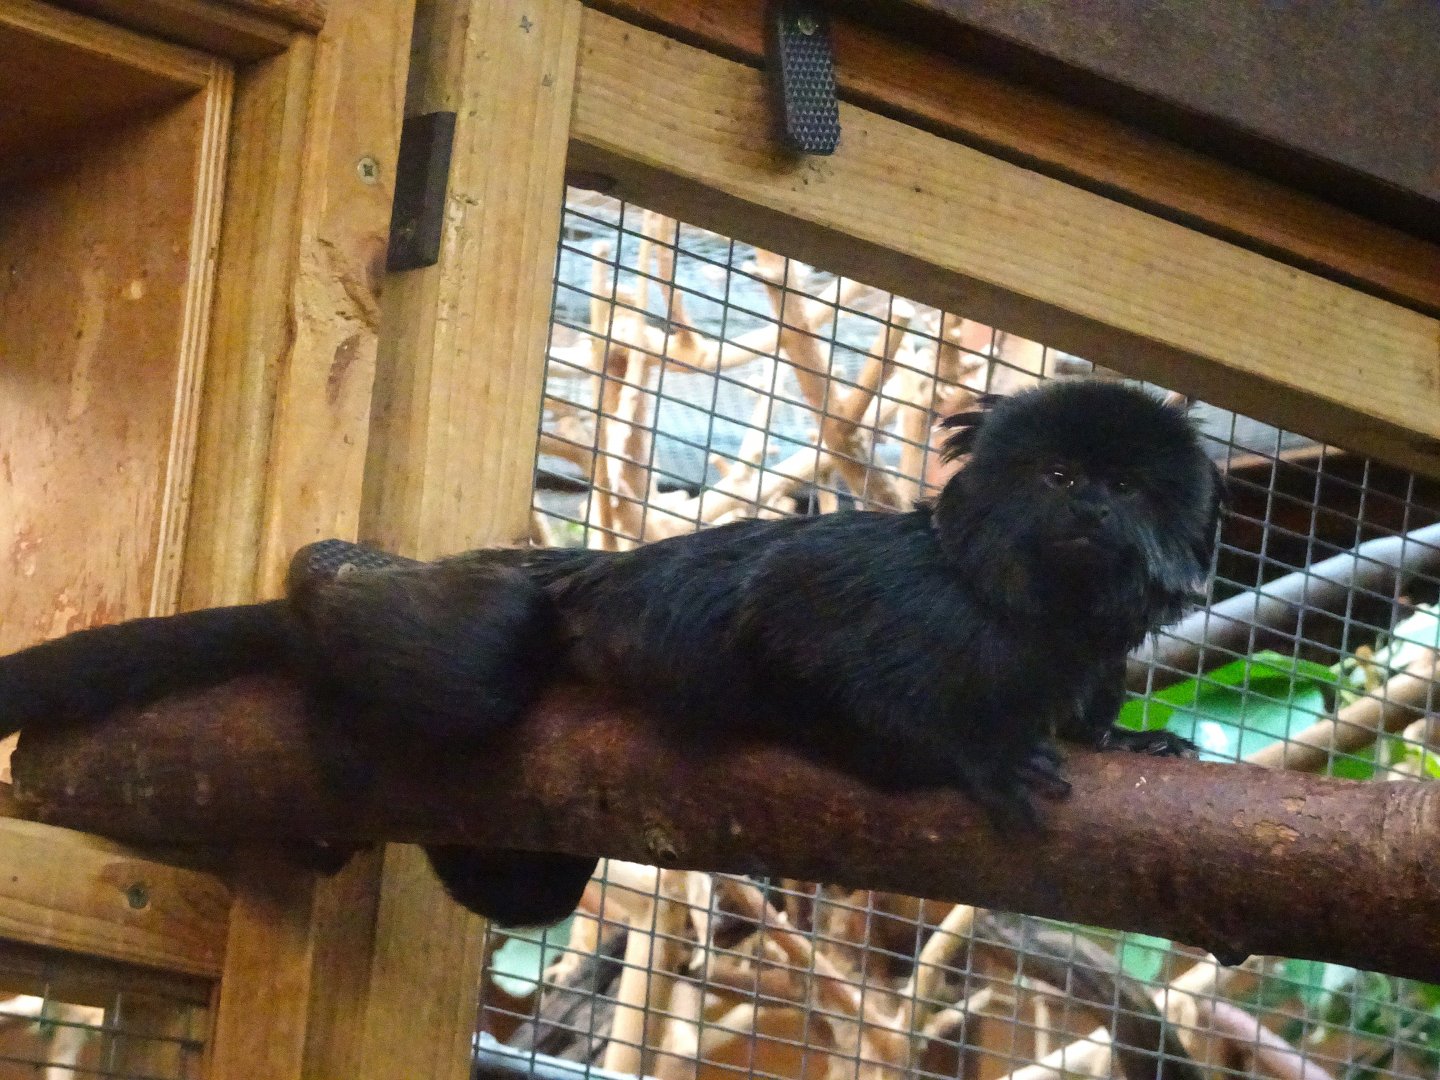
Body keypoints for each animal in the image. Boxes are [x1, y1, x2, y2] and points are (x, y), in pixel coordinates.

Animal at [0, 380, 1221, 928]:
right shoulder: (890, 594)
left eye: (1126, 489)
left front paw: (1135, 742)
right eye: (1060, 478)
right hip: (499, 606)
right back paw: (322, 585)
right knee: (469, 670)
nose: (1089, 510)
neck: (1024, 611)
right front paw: (974, 757)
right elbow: (794, 636)